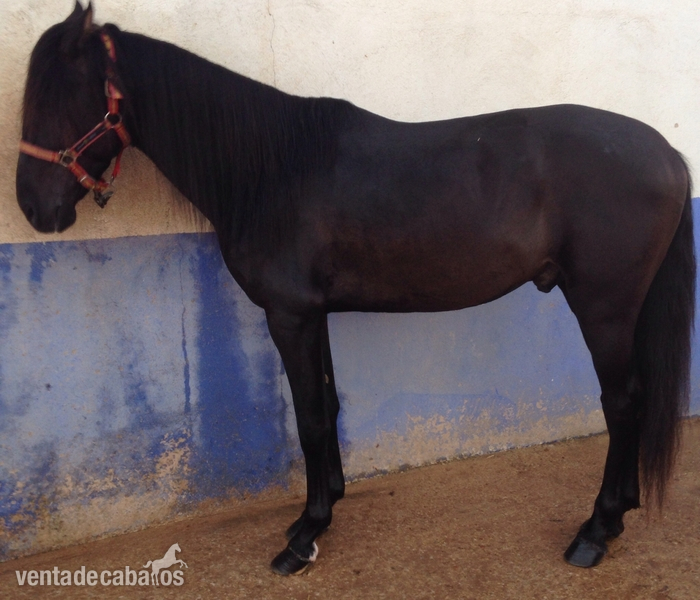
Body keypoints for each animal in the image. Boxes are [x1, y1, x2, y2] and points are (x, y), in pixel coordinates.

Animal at [16, 3, 695, 576]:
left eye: (58, 96)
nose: (33, 208)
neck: (272, 169)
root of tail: (667, 152)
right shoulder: (311, 314)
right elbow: (328, 404)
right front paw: (327, 507)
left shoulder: (288, 316)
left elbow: (311, 419)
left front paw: (304, 535)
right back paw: (620, 512)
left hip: (604, 308)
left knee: (622, 402)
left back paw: (594, 532)